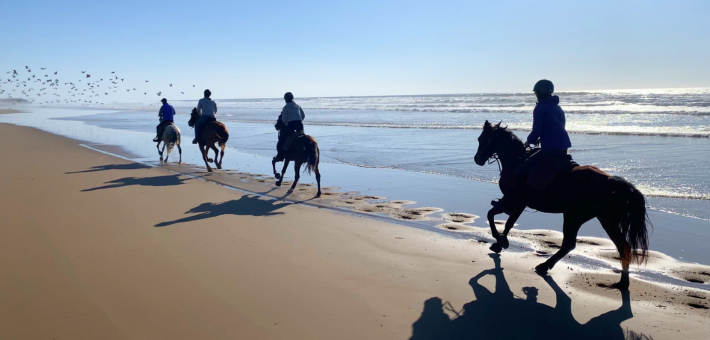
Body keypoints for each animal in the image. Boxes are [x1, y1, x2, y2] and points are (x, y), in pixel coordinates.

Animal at [476, 121, 652, 288]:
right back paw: (623, 282)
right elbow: (508, 222)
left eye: (483, 139)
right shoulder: (519, 203)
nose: (477, 159)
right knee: (623, 246)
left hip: (574, 216)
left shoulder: (513, 199)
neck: (517, 161)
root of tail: (613, 182)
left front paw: (499, 240)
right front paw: (500, 242)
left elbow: (494, 216)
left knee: (569, 244)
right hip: (607, 219)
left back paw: (544, 266)